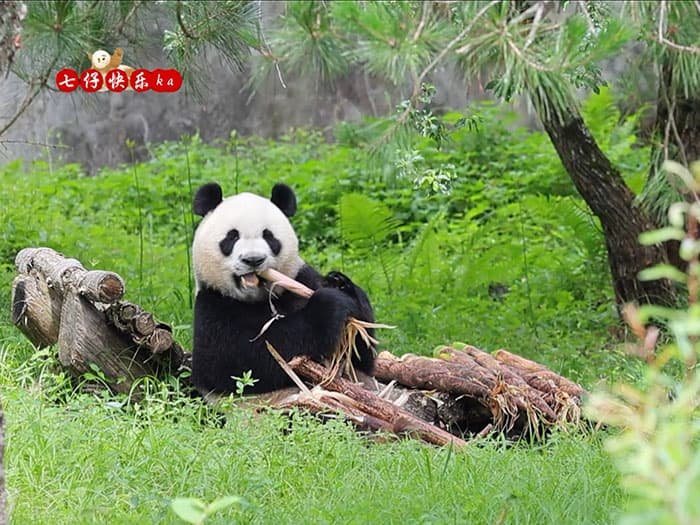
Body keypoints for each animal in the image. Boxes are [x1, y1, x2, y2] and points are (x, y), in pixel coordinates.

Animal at [191, 182, 376, 396]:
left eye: (269, 237)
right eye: (232, 237)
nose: (253, 260)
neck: (258, 299)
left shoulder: (301, 277)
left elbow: (361, 359)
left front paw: (339, 284)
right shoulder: (212, 306)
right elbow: (246, 358)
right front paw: (330, 304)